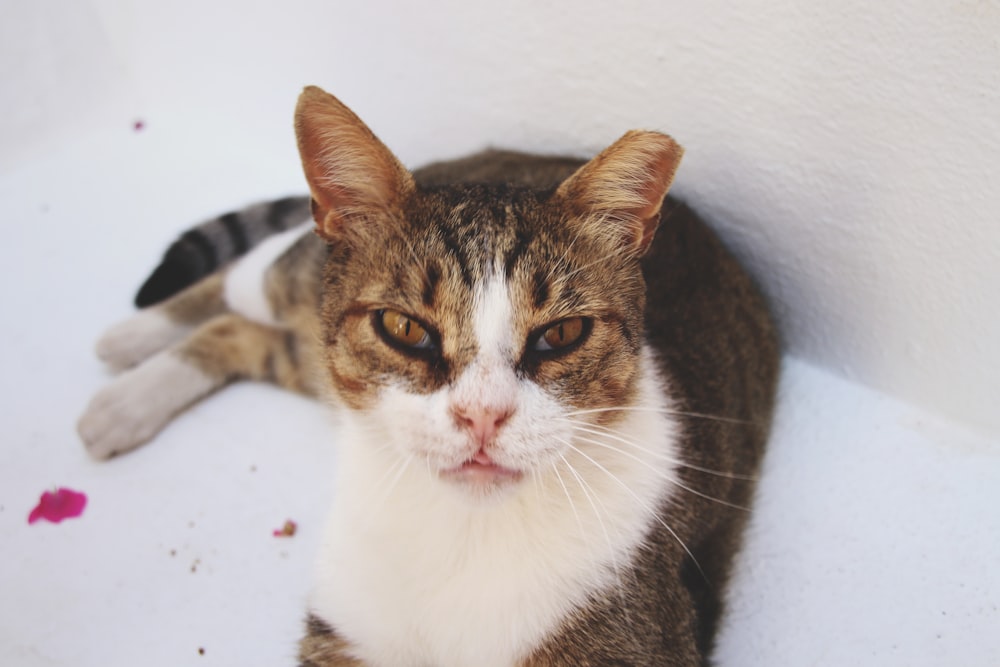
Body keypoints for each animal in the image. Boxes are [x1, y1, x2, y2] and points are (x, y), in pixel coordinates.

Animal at [78, 86, 780, 664]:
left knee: (244, 330)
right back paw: (128, 354)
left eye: (560, 335)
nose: (483, 415)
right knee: (246, 276)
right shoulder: (347, 624)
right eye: (405, 328)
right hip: (297, 283)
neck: (464, 530)